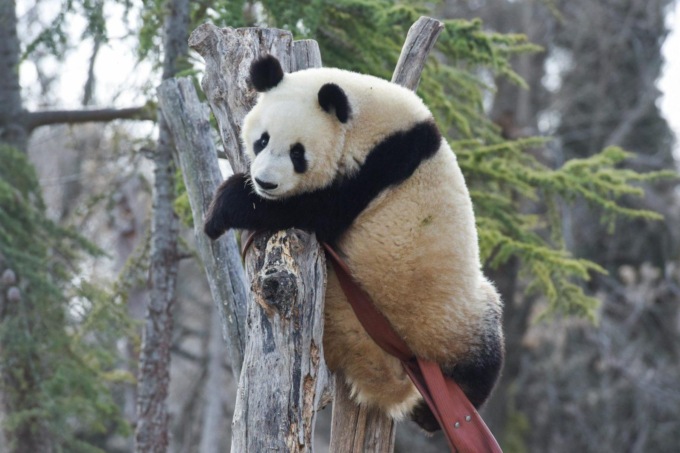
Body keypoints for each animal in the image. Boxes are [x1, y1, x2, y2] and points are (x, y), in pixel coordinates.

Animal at [204, 55, 504, 432]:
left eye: (297, 153)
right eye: (262, 140)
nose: (265, 182)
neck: (362, 118)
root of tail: (389, 376)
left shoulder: (379, 167)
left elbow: (316, 211)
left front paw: (224, 207)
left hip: (450, 317)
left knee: (483, 355)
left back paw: (435, 413)